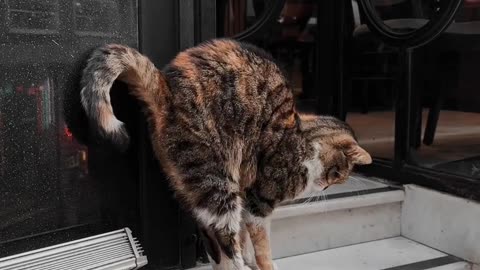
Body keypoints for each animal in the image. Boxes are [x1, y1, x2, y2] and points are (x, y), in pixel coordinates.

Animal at [79, 38, 372, 270]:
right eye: (338, 175)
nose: (324, 188)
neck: (302, 138)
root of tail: (165, 88)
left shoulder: (246, 195)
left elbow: (245, 239)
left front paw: (252, 260)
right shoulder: (258, 202)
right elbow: (261, 244)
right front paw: (264, 265)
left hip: (200, 187)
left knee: (214, 242)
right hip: (218, 184)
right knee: (225, 239)